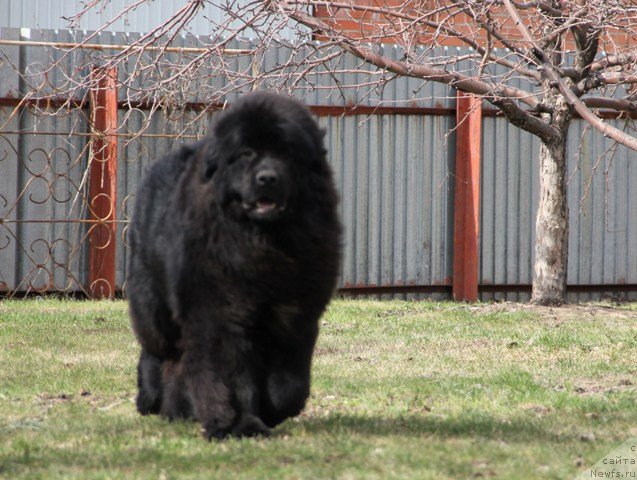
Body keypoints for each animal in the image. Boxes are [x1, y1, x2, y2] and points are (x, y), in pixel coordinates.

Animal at [126, 92, 340, 440]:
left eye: (286, 154)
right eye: (246, 154)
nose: (267, 178)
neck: (261, 242)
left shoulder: (294, 313)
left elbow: (289, 383)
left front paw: (270, 410)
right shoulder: (219, 312)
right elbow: (228, 372)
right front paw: (238, 424)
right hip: (153, 303)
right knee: (160, 349)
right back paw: (153, 399)